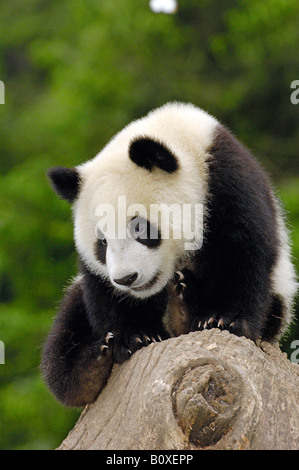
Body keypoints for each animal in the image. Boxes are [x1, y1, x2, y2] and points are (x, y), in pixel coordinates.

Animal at [41, 103, 298, 408]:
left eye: (139, 227)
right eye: (101, 242)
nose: (127, 279)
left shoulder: (228, 183)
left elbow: (244, 253)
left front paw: (224, 319)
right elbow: (103, 293)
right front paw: (135, 336)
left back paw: (183, 306)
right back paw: (88, 369)